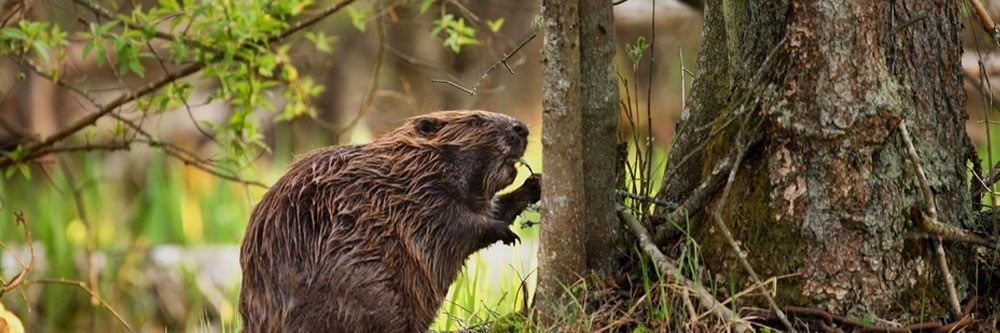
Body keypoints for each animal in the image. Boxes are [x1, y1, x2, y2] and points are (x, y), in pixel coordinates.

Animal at [238, 110, 540, 330]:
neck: (409, 168)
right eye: (475, 121)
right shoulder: (419, 199)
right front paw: (507, 233)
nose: (522, 128)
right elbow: (456, 225)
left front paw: (534, 184)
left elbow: (491, 209)